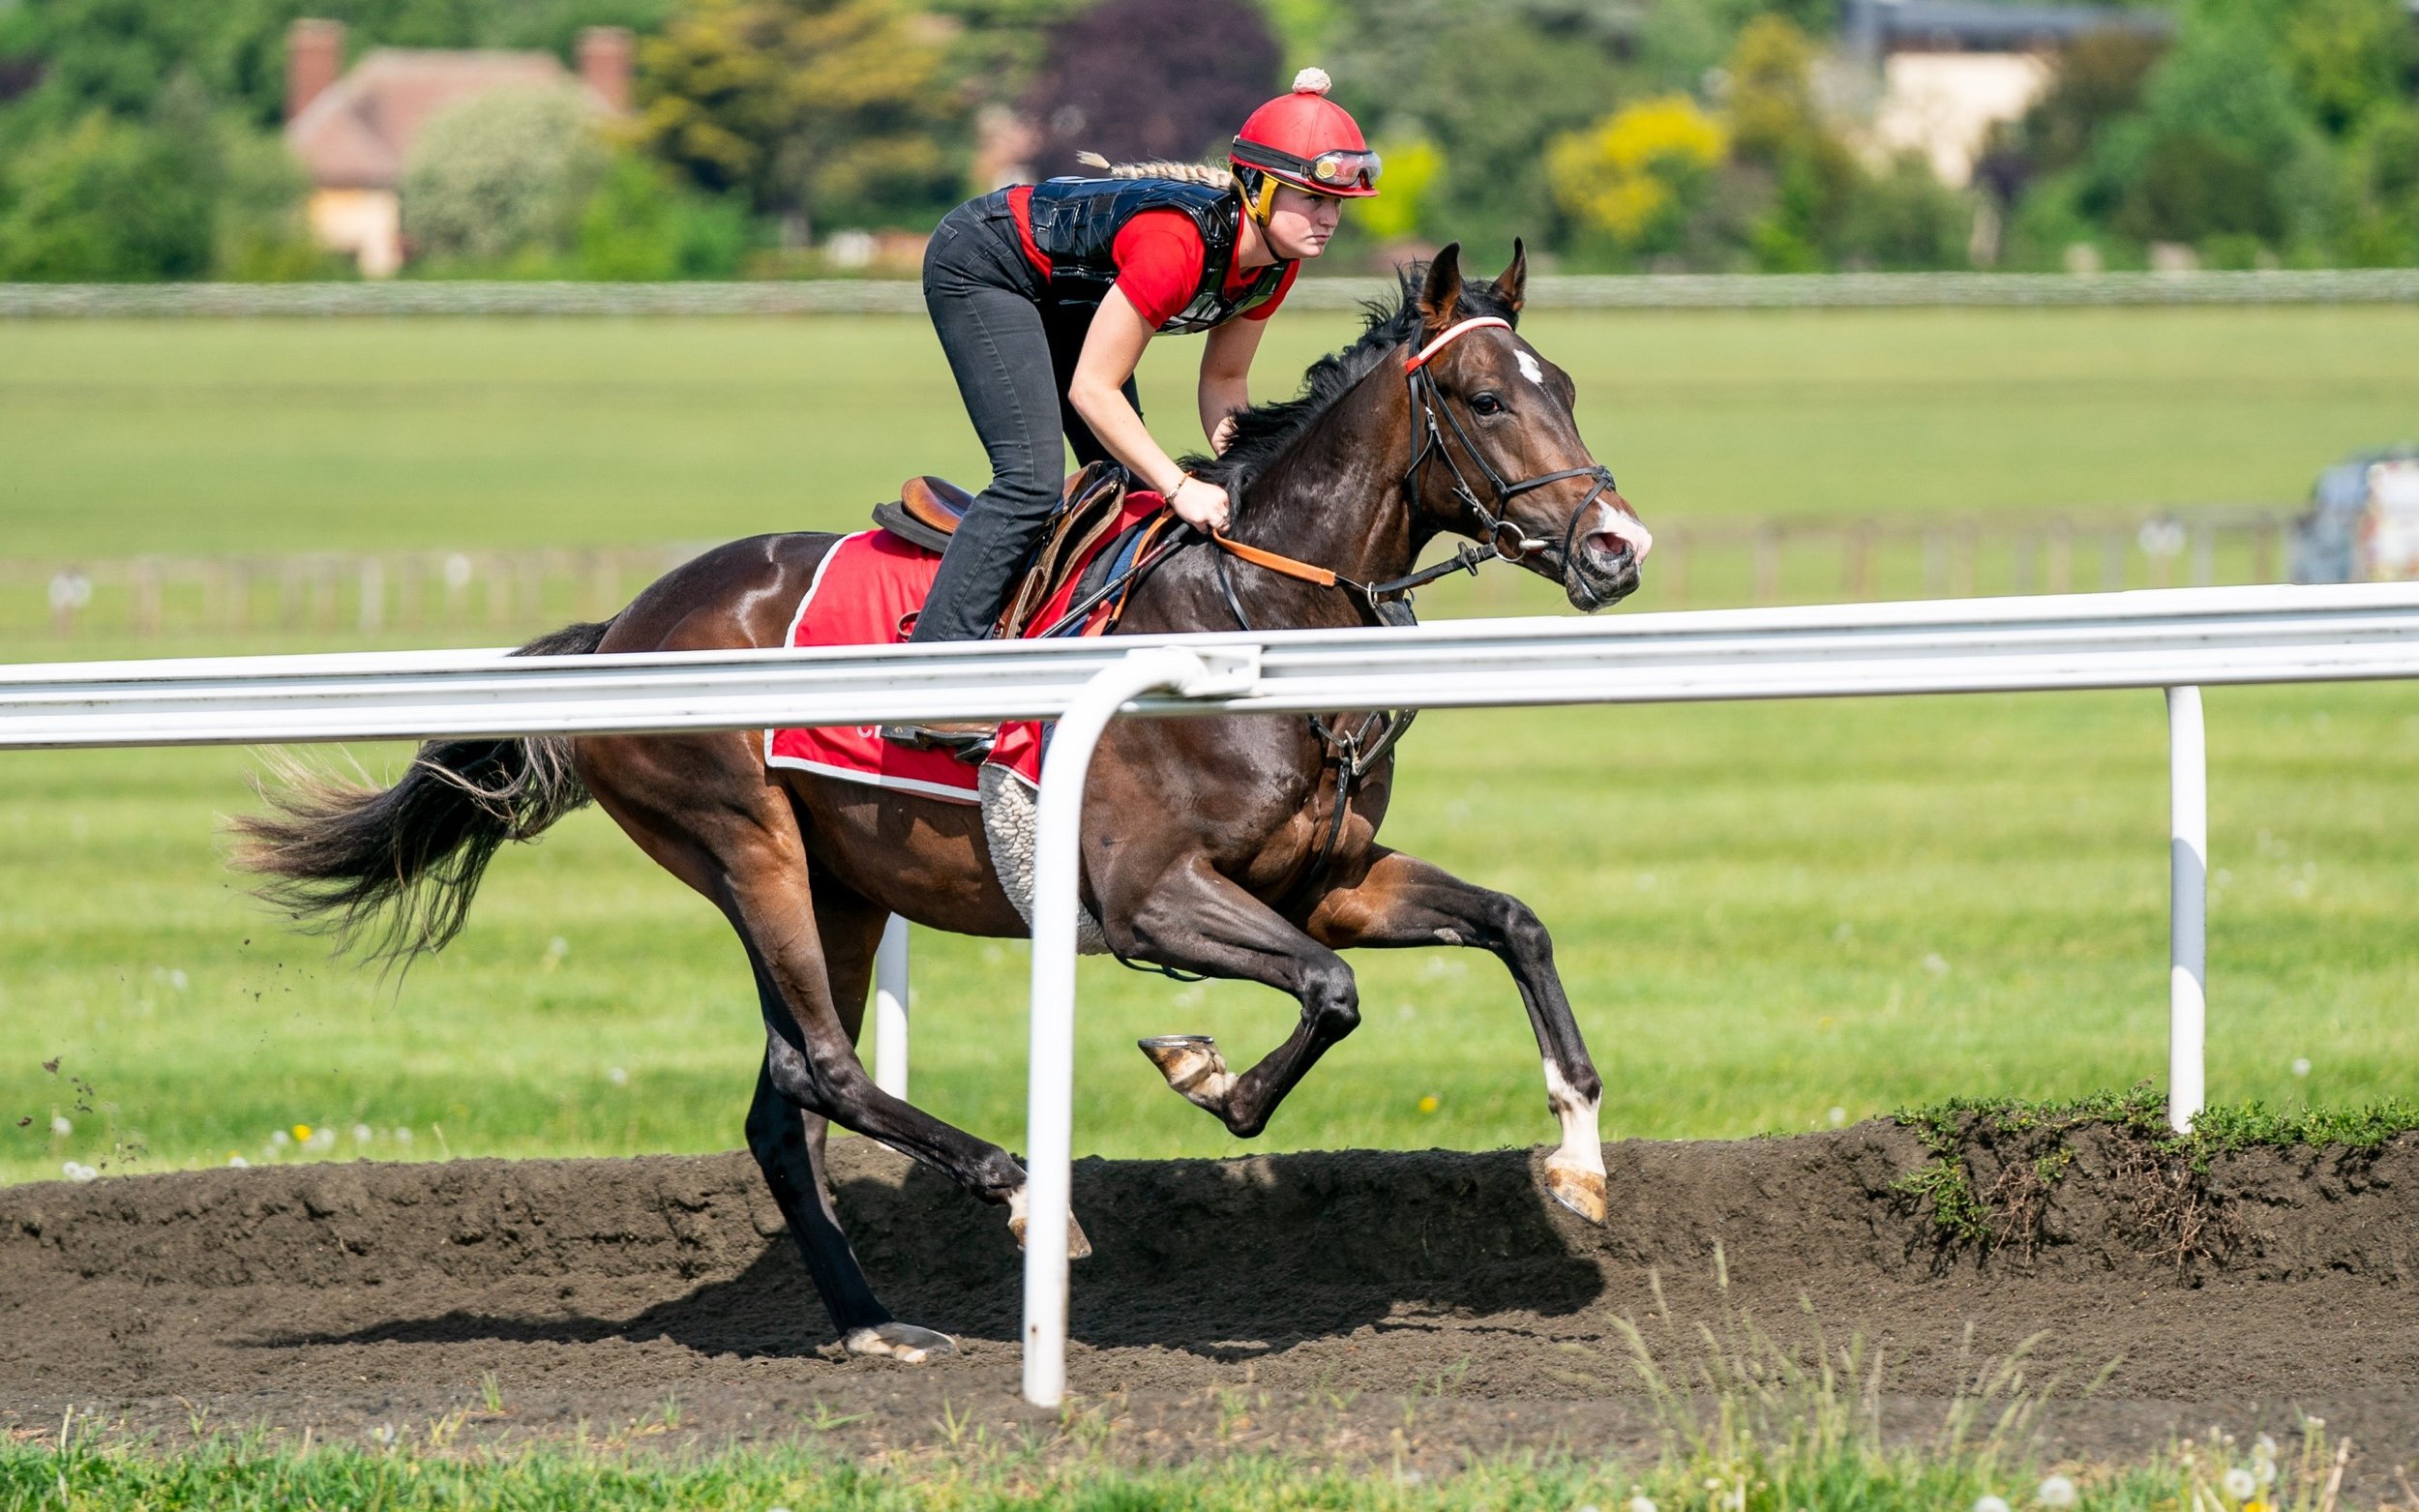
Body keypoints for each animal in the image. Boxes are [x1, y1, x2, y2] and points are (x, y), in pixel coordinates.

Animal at [234, 242, 1653, 1364]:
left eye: (1570, 389)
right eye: (1482, 396)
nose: (1616, 547)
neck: (1248, 619)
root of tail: (626, 625)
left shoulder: (1327, 881)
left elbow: (1510, 923)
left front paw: (1578, 1161)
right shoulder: (1149, 898)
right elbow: (1327, 993)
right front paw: (1203, 1072)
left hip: (847, 886)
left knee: (780, 1103)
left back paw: (871, 1318)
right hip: (748, 847)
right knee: (822, 1065)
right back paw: (1022, 1194)